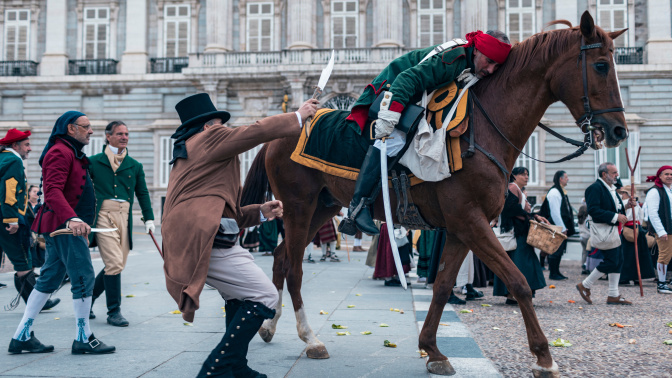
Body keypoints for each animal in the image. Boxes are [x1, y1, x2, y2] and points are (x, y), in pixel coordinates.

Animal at [244, 11, 628, 376]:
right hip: (299, 207)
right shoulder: (472, 222)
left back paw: (269, 326)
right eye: (601, 65)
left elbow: (442, 286)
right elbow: (518, 282)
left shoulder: (462, 227)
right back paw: (310, 339)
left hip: (322, 208)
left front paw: (432, 350)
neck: (482, 130)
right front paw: (544, 358)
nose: (618, 131)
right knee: (294, 268)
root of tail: (288, 121)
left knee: (280, 258)